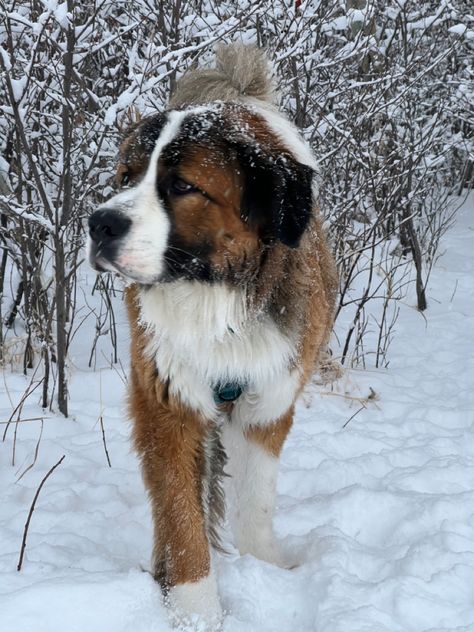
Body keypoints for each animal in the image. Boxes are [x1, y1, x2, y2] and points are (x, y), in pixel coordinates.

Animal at [86, 43, 336, 628]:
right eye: (126, 177)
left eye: (182, 186)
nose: (99, 223)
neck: (218, 302)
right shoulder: (168, 400)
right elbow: (181, 517)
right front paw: (196, 612)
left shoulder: (269, 397)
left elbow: (255, 498)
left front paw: (263, 568)